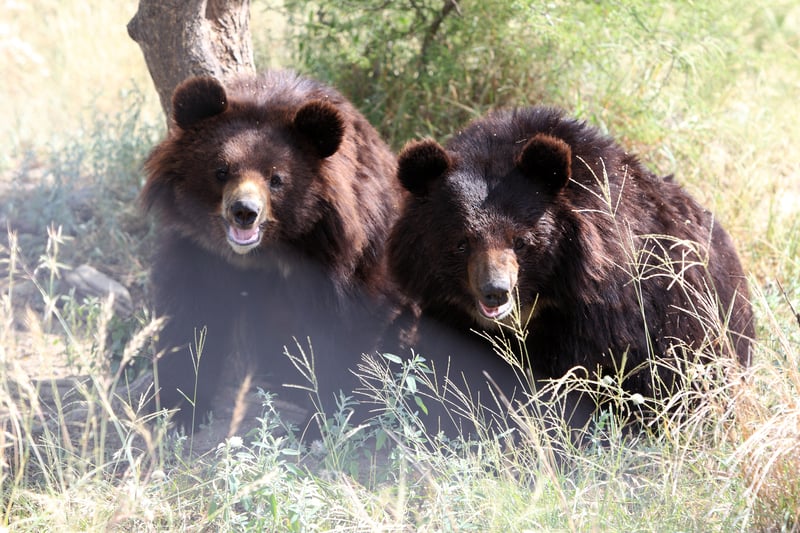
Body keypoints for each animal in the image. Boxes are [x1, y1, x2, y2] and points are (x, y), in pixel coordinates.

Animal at [139, 69, 406, 432]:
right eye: (221, 170)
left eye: (276, 179)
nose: (244, 212)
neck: (270, 251)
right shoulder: (199, 249)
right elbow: (193, 316)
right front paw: (181, 406)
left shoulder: (345, 254)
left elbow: (349, 326)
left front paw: (322, 420)